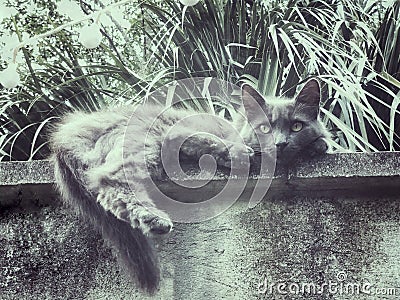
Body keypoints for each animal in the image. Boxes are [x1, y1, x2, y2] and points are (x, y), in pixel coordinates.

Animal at [50, 79, 330, 292]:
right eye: (264, 128)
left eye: (296, 126)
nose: (280, 143)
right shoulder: (179, 133)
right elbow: (212, 142)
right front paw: (242, 153)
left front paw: (318, 145)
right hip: (143, 145)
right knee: (110, 180)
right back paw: (155, 220)